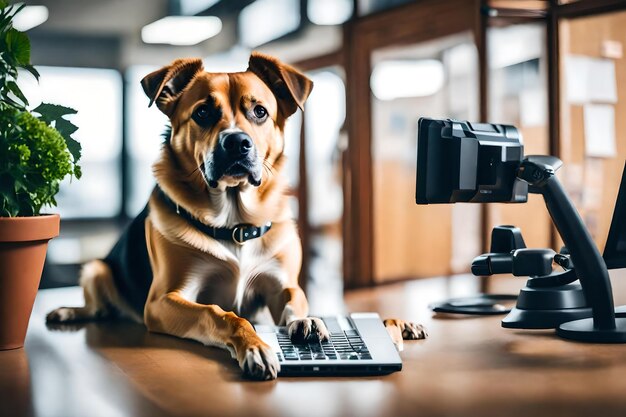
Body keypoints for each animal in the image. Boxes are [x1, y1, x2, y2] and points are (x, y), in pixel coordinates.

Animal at [46, 51, 422, 376]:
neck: (235, 222)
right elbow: (220, 314)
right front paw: (253, 345)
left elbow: (295, 300)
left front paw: (306, 320)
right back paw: (69, 311)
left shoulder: (281, 285)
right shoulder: (164, 300)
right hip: (96, 270)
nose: (237, 143)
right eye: (202, 113)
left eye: (259, 111)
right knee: (98, 307)